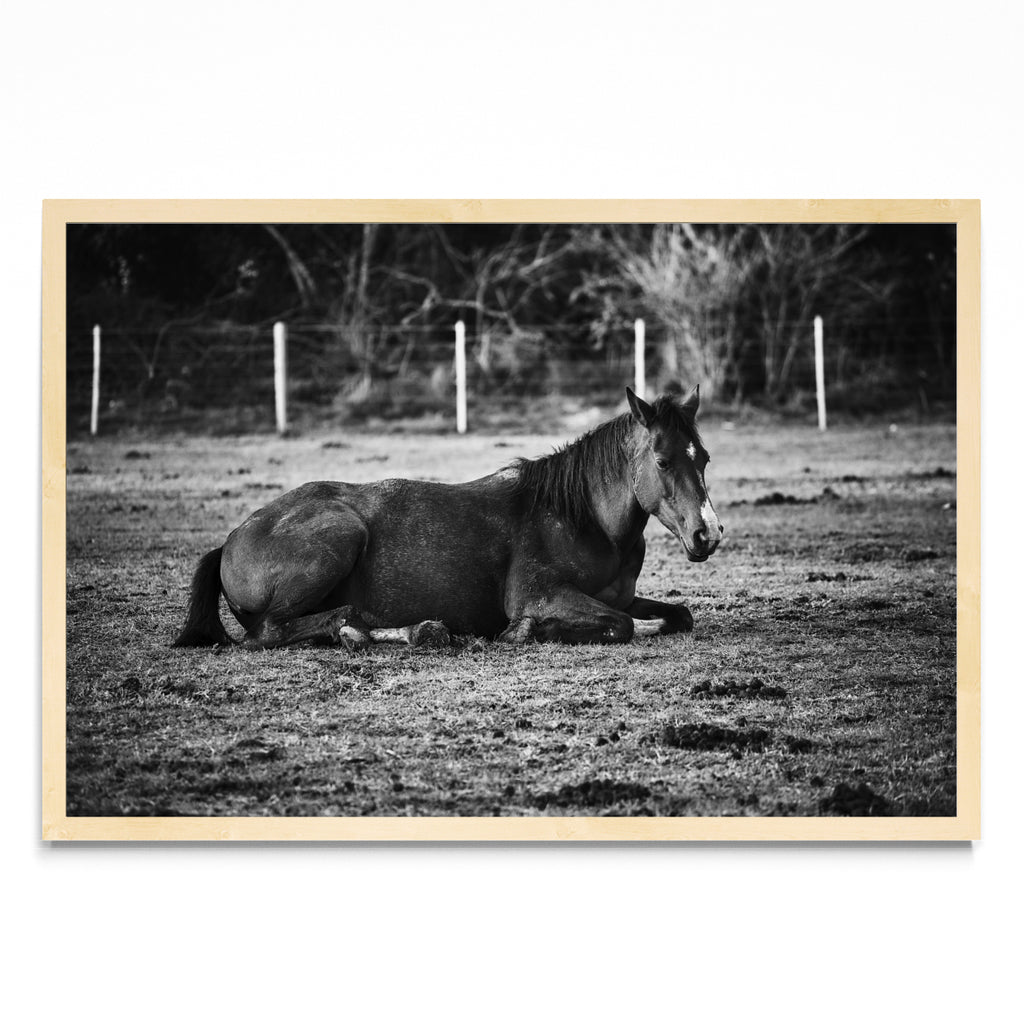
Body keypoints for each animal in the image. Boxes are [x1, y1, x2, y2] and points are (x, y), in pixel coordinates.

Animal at [173, 385, 723, 650]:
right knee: (272, 631)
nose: (709, 534)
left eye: (704, 458)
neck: (582, 520)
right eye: (662, 461)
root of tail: (231, 539)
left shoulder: (622, 597)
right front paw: (525, 632)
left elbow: (677, 614)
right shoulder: (540, 595)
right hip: (340, 535)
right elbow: (620, 625)